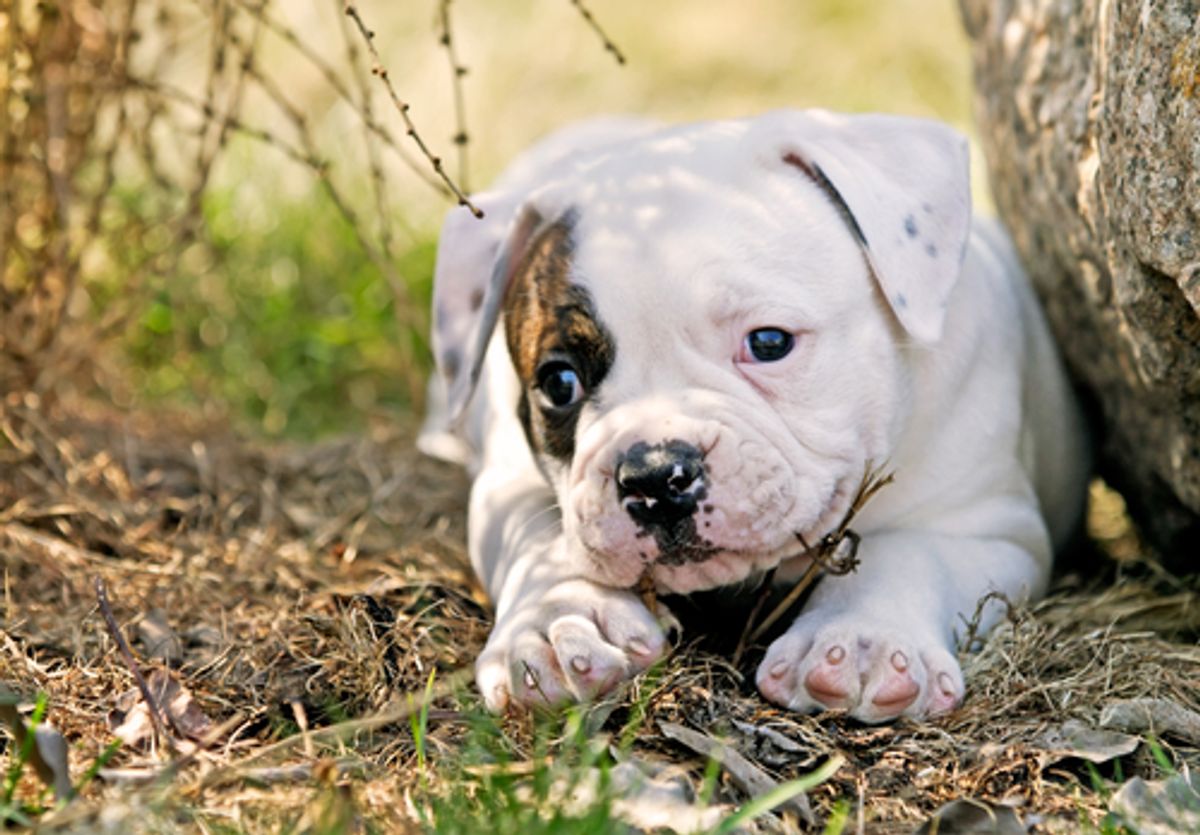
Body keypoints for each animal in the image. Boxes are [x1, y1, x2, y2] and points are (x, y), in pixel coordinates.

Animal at [417, 109, 1094, 724]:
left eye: (769, 342)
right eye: (559, 383)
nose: (655, 476)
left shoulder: (984, 524)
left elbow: (907, 552)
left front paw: (862, 640)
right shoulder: (509, 484)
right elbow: (540, 538)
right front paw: (561, 622)